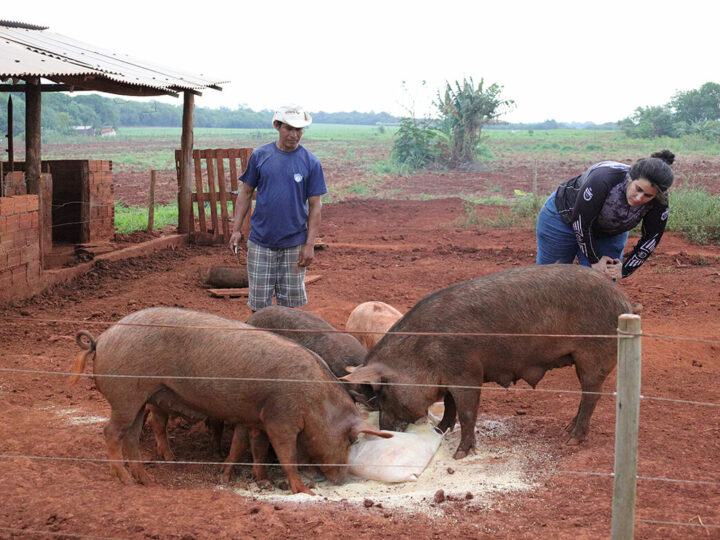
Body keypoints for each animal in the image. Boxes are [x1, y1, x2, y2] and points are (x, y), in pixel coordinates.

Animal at [71, 308, 388, 494]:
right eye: (350, 440)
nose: (342, 479)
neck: (316, 401)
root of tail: (101, 339)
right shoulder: (280, 418)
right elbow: (286, 456)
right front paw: (303, 491)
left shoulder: (257, 417)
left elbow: (253, 448)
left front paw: (259, 480)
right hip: (124, 396)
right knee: (111, 432)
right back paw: (125, 480)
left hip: (141, 400)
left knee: (132, 436)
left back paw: (147, 480)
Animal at [340, 264, 632, 458]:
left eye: (383, 393)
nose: (386, 429)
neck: (422, 353)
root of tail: (625, 302)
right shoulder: (450, 377)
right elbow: (450, 406)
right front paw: (440, 431)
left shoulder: (467, 372)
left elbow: (467, 412)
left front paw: (459, 455)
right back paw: (567, 428)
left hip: (593, 355)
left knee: (592, 394)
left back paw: (572, 439)